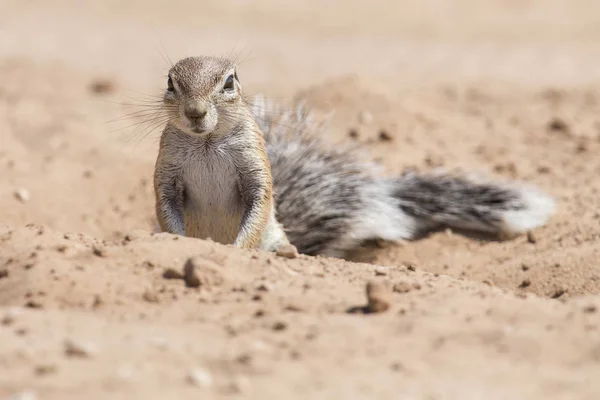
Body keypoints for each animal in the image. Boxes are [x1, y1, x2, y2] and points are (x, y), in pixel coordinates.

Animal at [152, 54, 556, 258]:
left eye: (229, 82)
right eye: (170, 82)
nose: (195, 113)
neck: (206, 143)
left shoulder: (254, 168)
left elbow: (259, 204)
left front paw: (239, 249)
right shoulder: (167, 171)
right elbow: (166, 206)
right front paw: (180, 241)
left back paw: (285, 252)